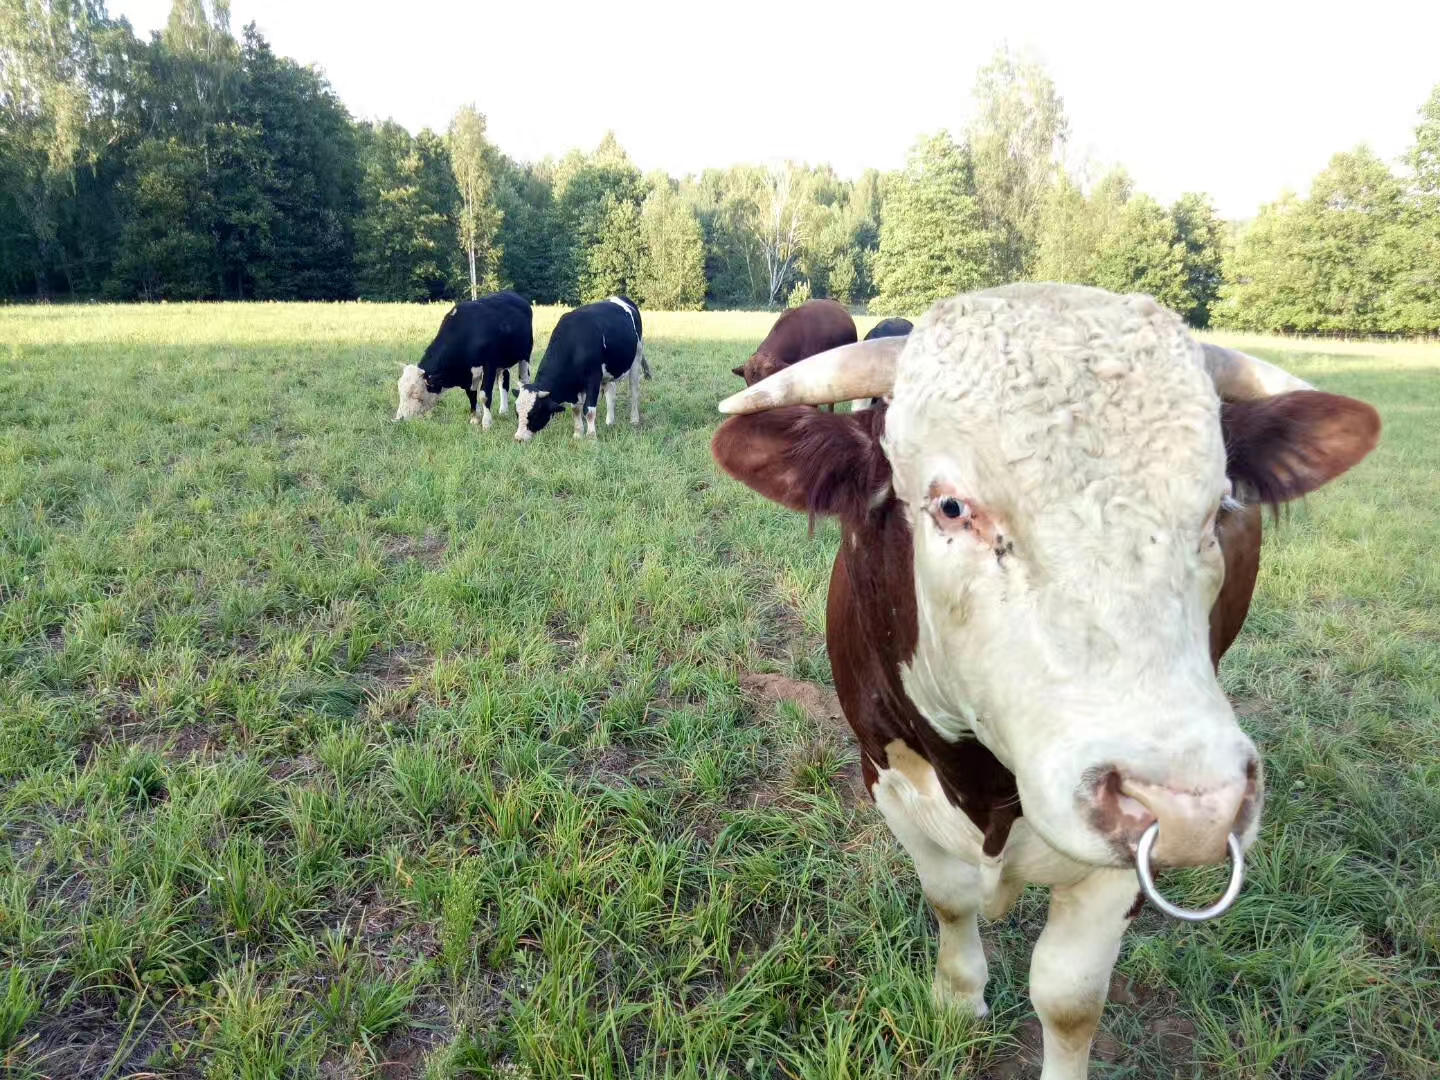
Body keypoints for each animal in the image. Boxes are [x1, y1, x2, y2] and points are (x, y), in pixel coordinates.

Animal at [394, 298, 535, 434]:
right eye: (400, 391)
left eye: (416, 394)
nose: (398, 419)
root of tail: (518, 298)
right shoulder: (469, 373)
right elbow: (471, 394)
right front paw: (475, 418)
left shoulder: (489, 365)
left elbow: (484, 395)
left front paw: (486, 423)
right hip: (503, 362)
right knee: (503, 381)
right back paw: (503, 411)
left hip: (525, 355)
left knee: (524, 379)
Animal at [515, 296, 650, 440]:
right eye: (517, 413)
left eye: (534, 413)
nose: (519, 438)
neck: (576, 343)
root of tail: (622, 298)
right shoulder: (575, 386)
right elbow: (576, 409)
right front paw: (578, 434)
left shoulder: (593, 379)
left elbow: (589, 410)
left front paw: (591, 437)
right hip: (608, 372)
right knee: (610, 392)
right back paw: (610, 421)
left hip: (636, 358)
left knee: (634, 391)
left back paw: (634, 419)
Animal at [714, 285, 1376, 1080]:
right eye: (951, 507)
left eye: (1218, 508)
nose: (1196, 808)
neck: (983, 786)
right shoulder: (887, 777)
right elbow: (949, 899)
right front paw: (957, 997)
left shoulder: (1118, 867)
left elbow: (1067, 997)